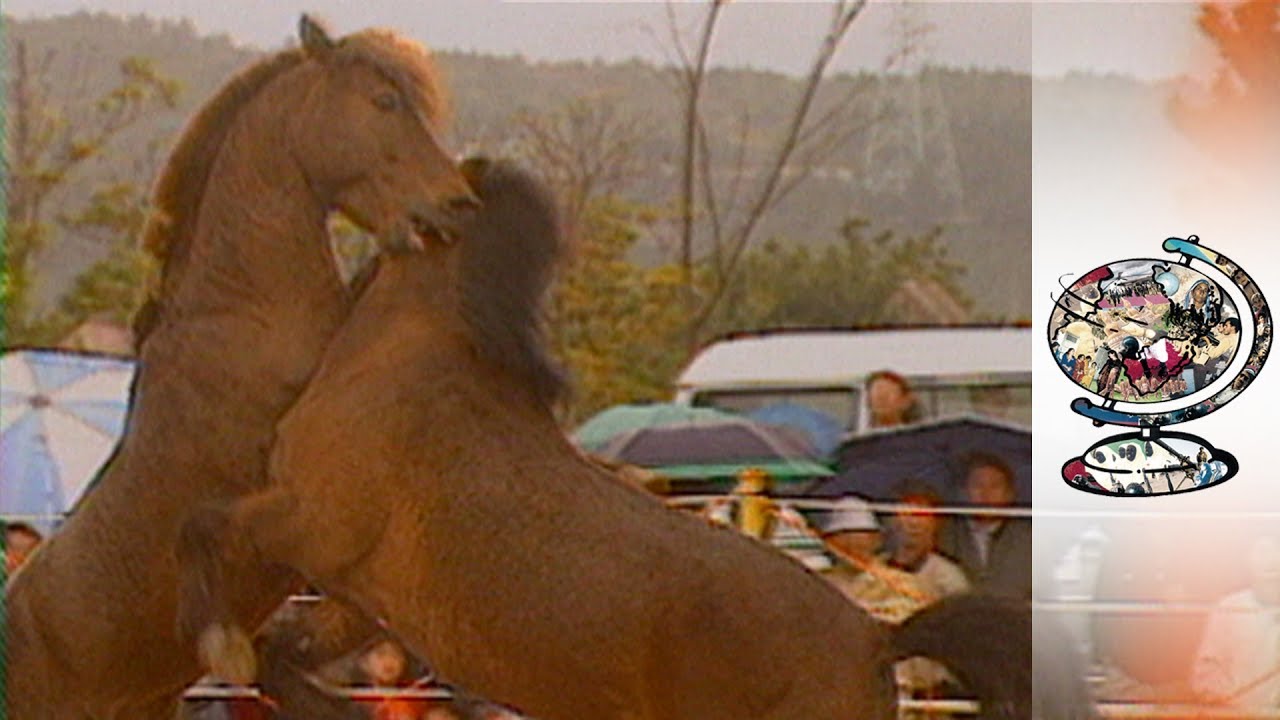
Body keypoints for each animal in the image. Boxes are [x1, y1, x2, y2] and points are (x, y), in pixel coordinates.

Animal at [177, 159, 1031, 719]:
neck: (411, 360)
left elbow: (204, 533)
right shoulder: (359, 595)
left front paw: (218, 645)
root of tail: (875, 639)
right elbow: (280, 653)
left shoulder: (308, 522)